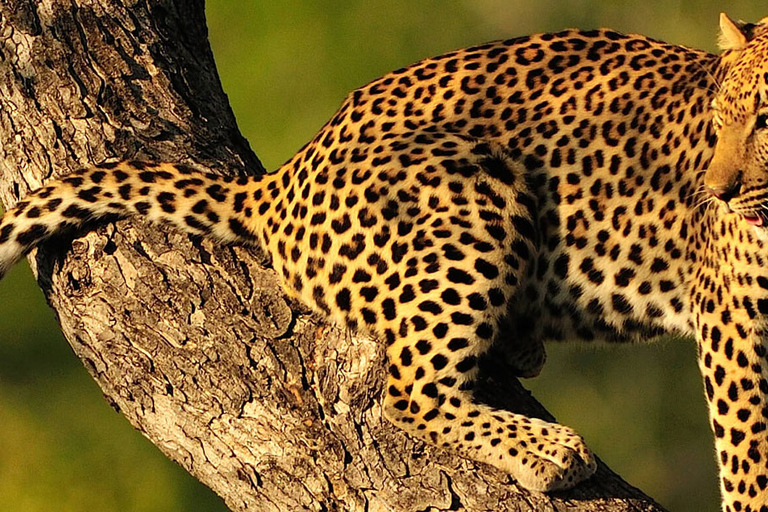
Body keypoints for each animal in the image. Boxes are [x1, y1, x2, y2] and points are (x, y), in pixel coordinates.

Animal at [1, 9, 768, 512]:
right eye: (718, 121)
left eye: (758, 121)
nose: (717, 192)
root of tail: (280, 179)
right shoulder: (735, 328)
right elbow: (750, 455)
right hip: (473, 194)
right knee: (412, 392)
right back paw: (547, 450)